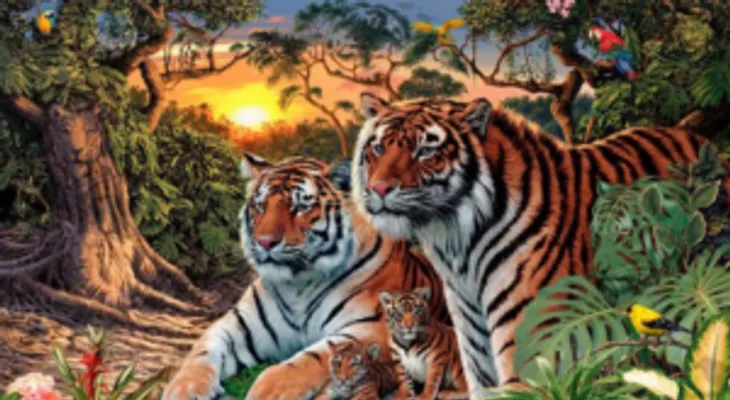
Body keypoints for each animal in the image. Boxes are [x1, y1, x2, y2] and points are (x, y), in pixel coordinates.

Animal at [162, 155, 451, 400]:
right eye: (260, 206)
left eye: (300, 207)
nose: (265, 242)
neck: (298, 284)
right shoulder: (239, 324)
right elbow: (203, 348)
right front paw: (184, 388)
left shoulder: (373, 326)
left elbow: (315, 356)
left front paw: (269, 390)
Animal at [351, 92, 730, 397]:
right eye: (379, 147)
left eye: (426, 150)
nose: (379, 189)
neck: (456, 246)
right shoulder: (477, 356)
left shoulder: (531, 355)